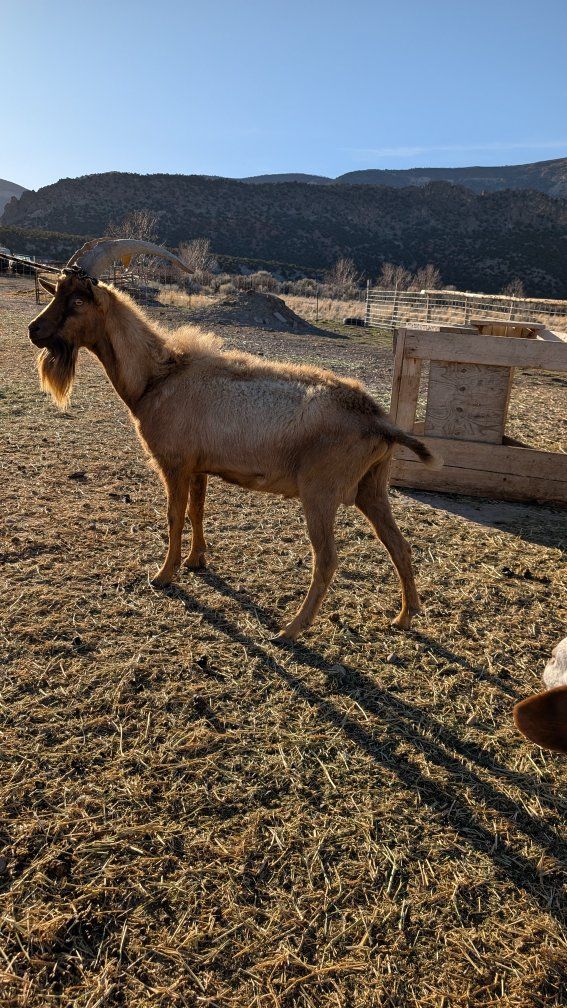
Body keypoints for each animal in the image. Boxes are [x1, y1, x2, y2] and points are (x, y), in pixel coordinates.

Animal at [28, 239, 441, 640]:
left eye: (78, 301)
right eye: (57, 292)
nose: (34, 330)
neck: (157, 377)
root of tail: (378, 420)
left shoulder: (174, 464)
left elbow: (174, 516)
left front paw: (163, 575)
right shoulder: (199, 467)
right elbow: (196, 511)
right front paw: (196, 561)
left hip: (320, 492)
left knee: (327, 559)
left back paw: (290, 630)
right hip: (372, 487)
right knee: (399, 545)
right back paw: (404, 616)